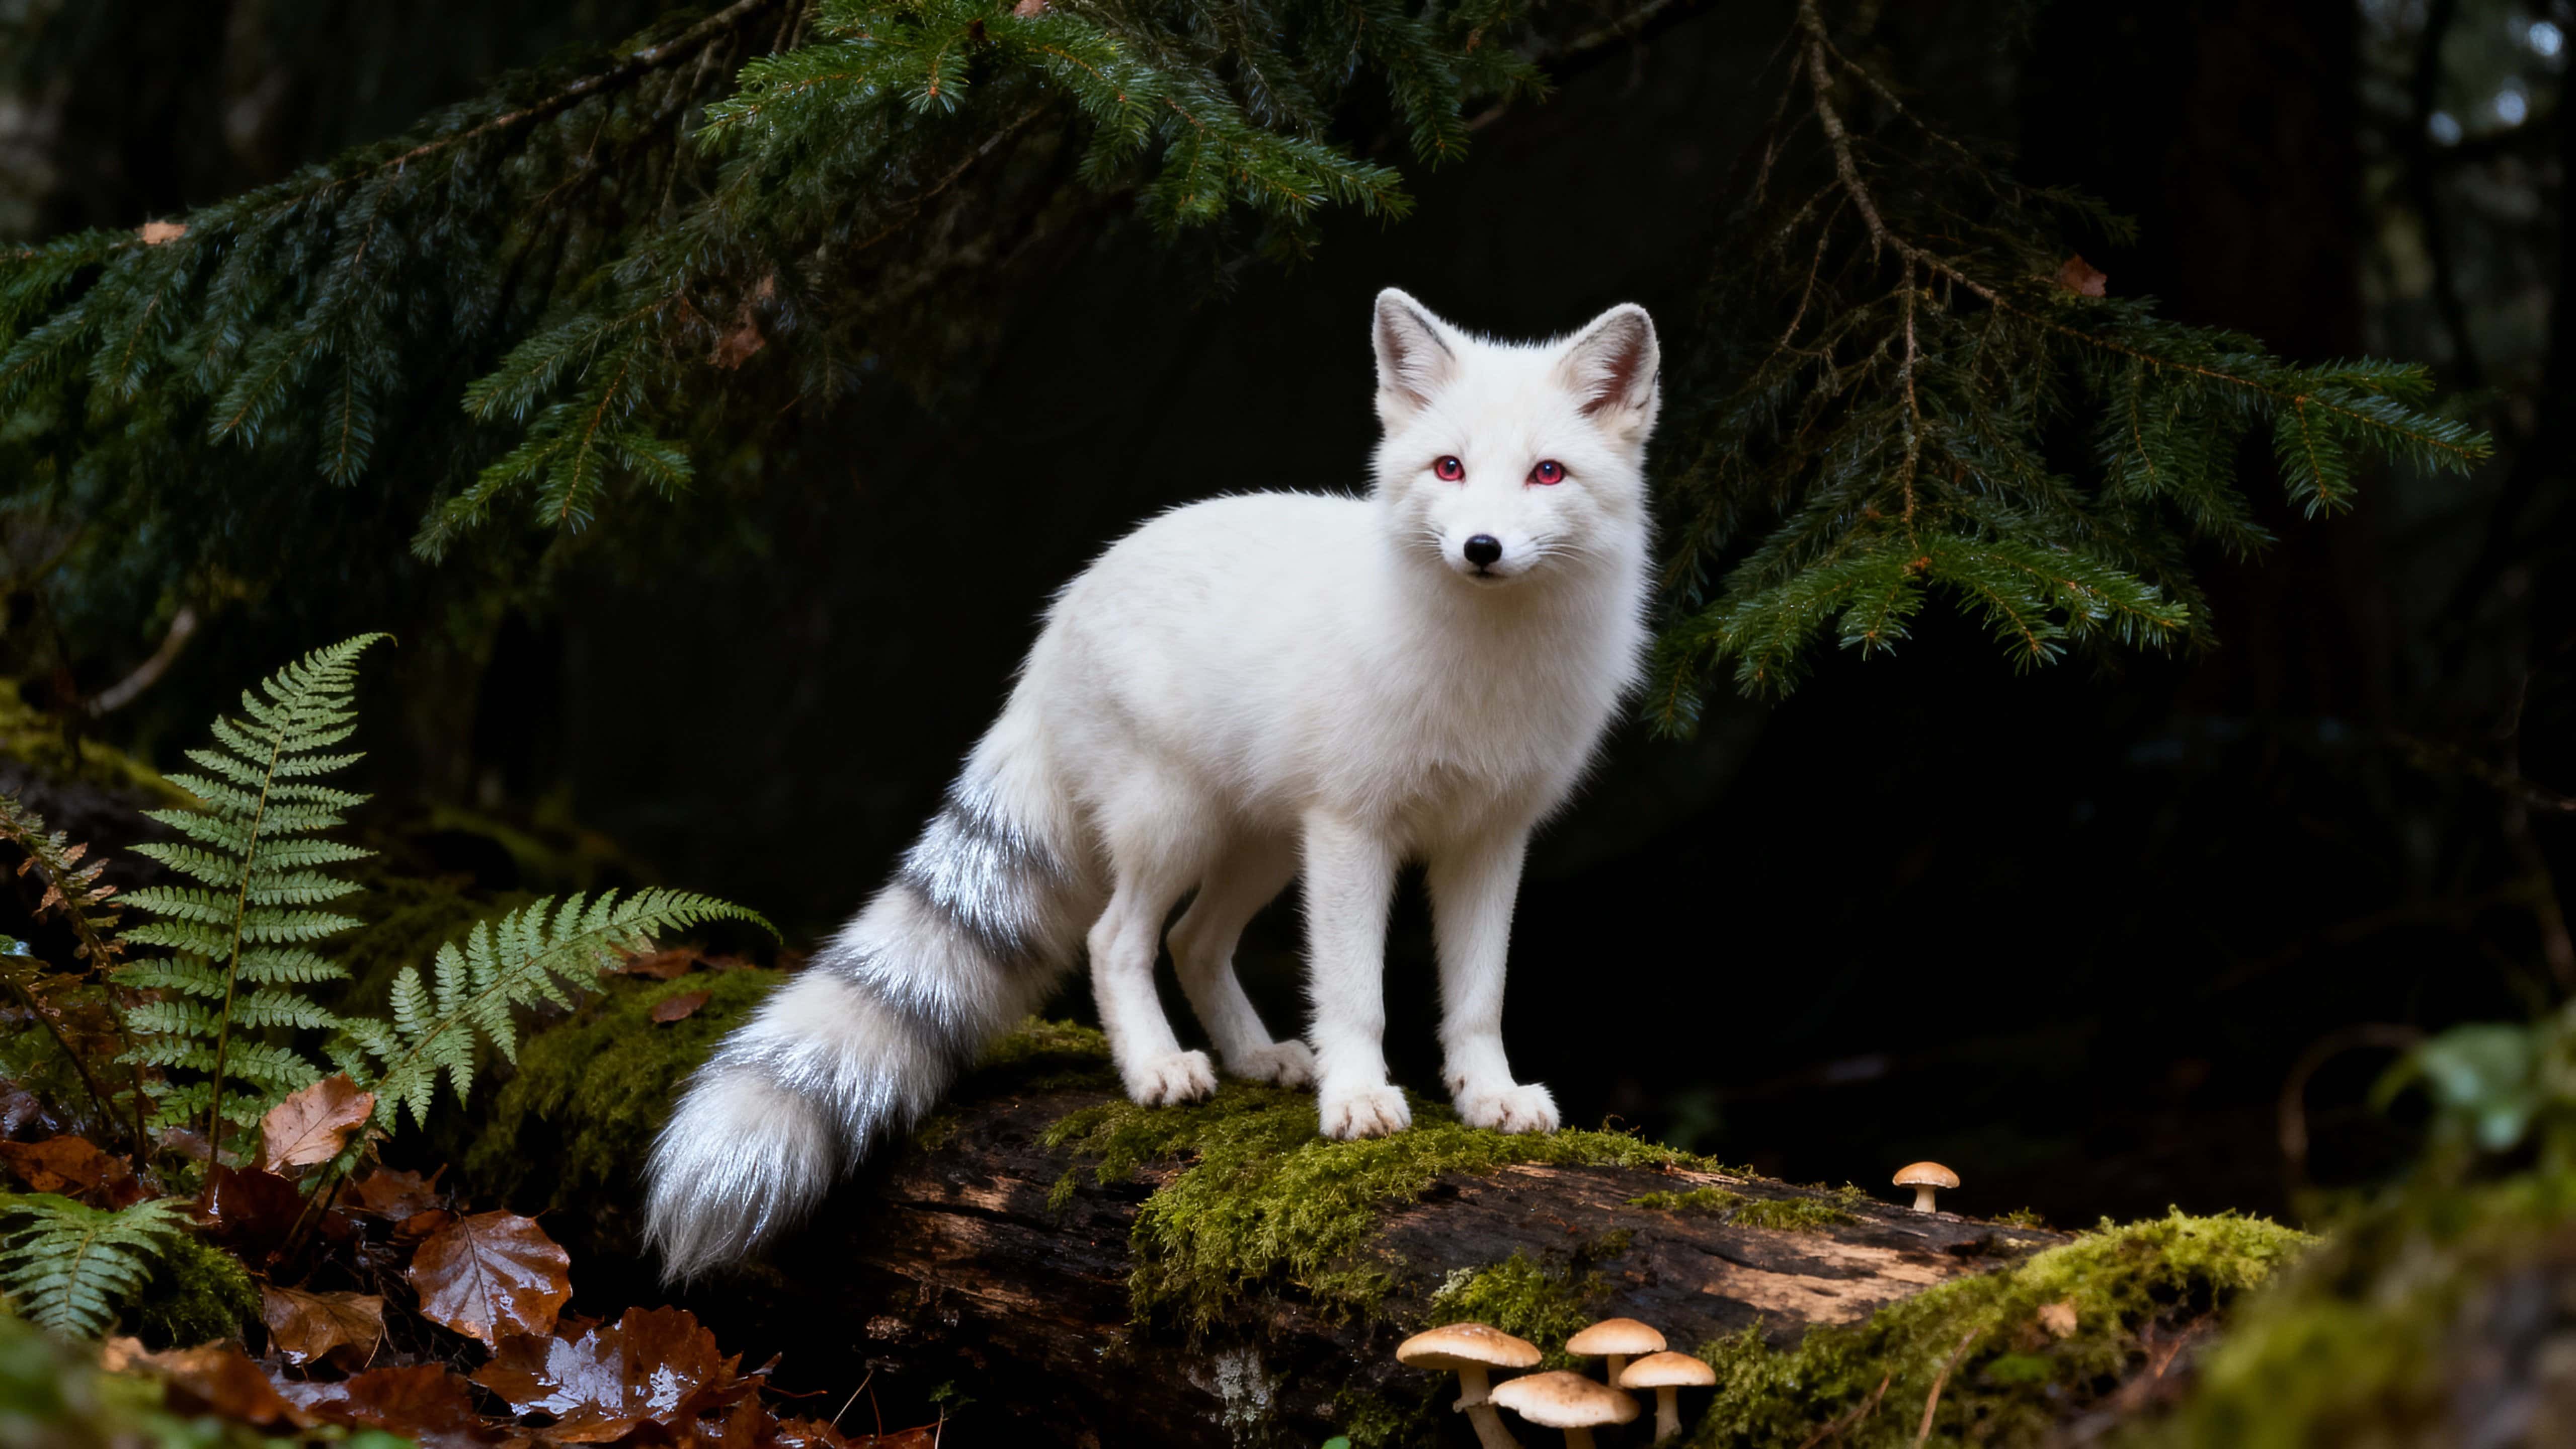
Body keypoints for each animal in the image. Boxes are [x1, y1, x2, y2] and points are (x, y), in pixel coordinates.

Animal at [643, 288, 1662, 1278]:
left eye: (1547, 475)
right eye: (1449, 469)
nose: (1482, 548)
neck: (1485, 669)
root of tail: (1055, 626)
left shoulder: (1489, 838)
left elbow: (1481, 998)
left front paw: (1488, 1097)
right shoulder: (1353, 830)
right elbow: (1356, 997)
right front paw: (1359, 1100)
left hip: (1259, 848)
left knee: (1193, 941)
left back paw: (1253, 1057)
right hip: (1177, 828)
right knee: (1117, 940)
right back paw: (1157, 1071)